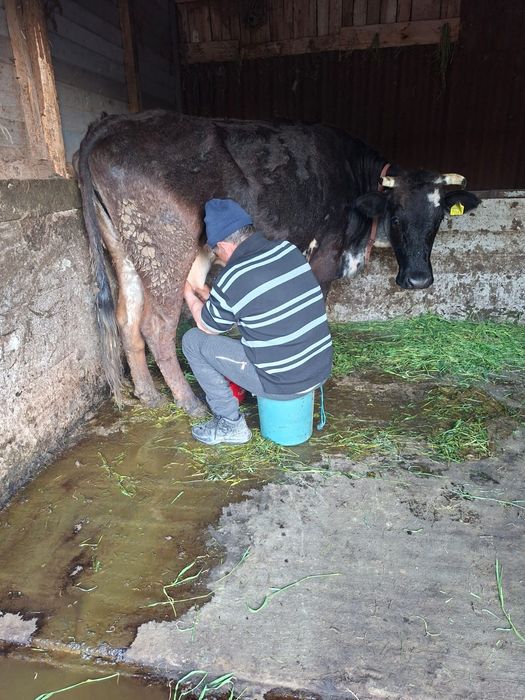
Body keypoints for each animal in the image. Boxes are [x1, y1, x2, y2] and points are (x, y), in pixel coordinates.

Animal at [76, 110, 480, 414]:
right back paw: (189, 402)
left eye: (438, 218)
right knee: (156, 325)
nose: (418, 279)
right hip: (165, 244)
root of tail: (111, 123)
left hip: (126, 247)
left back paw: (149, 395)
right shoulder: (325, 256)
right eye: (395, 217)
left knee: (127, 319)